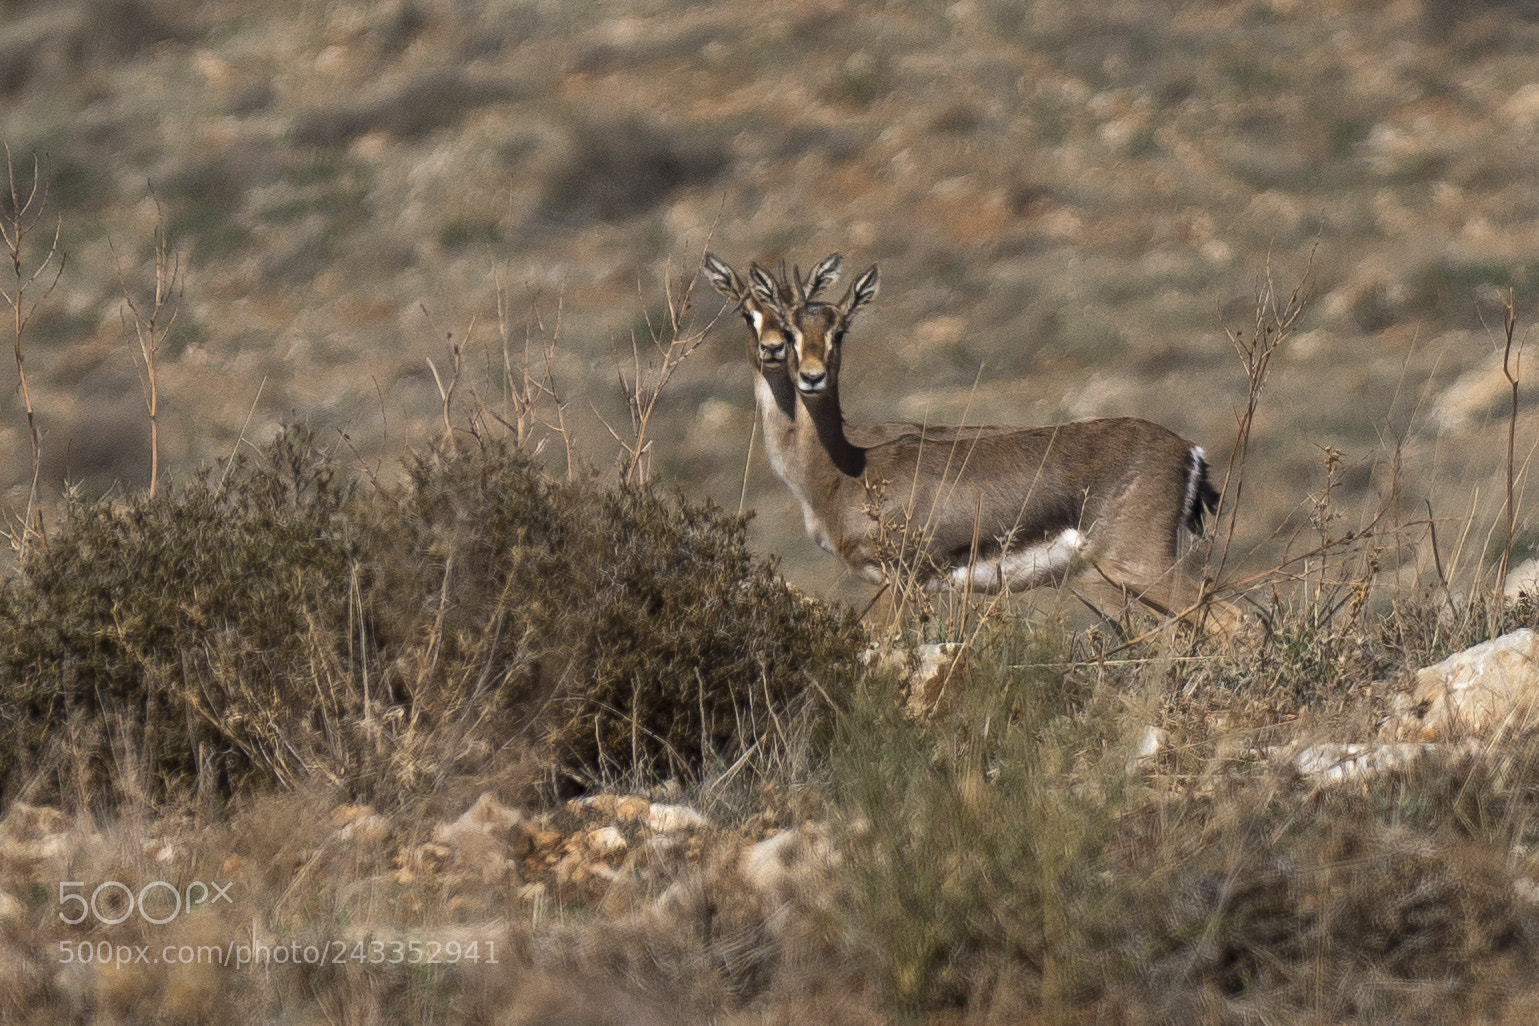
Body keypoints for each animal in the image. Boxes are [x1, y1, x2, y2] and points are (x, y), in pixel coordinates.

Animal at [733, 257, 1233, 628]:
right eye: (791, 332)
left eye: (840, 331)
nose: (810, 376)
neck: (847, 471)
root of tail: (1190, 451)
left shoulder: (898, 580)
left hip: (1137, 567)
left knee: (1230, 622)